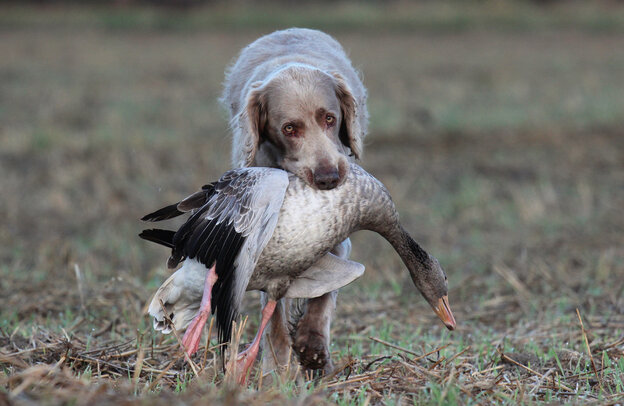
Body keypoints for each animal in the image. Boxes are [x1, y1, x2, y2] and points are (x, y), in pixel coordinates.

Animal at [221, 28, 368, 376]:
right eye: (289, 128)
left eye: (330, 118)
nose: (329, 177)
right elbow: (275, 312)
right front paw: (276, 366)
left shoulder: (337, 236)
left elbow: (325, 294)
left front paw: (312, 346)